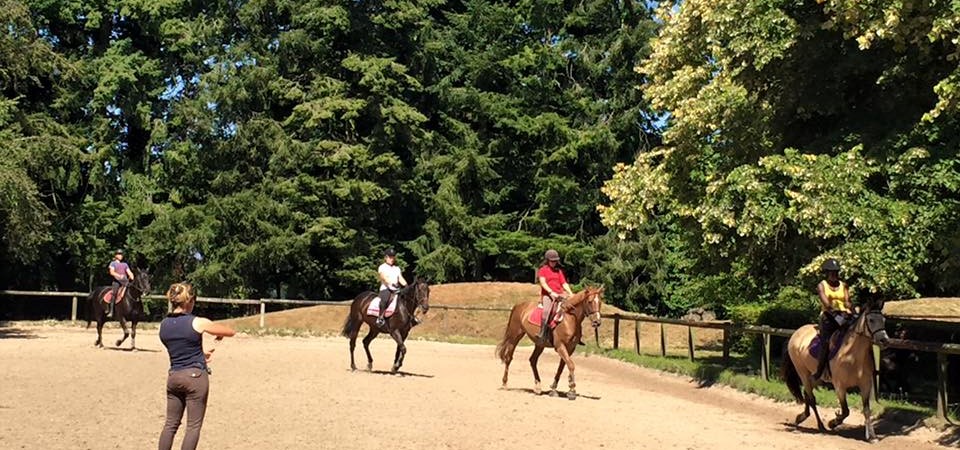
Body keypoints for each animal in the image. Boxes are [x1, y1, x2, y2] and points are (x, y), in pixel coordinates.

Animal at [784, 300, 888, 442]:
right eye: (871, 320)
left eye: (883, 320)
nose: (884, 340)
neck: (851, 355)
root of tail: (796, 333)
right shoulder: (839, 386)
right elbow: (845, 411)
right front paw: (833, 422)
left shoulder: (865, 385)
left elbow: (867, 410)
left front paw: (872, 437)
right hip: (803, 373)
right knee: (811, 398)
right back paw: (821, 425)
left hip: (816, 378)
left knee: (807, 394)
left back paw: (802, 417)